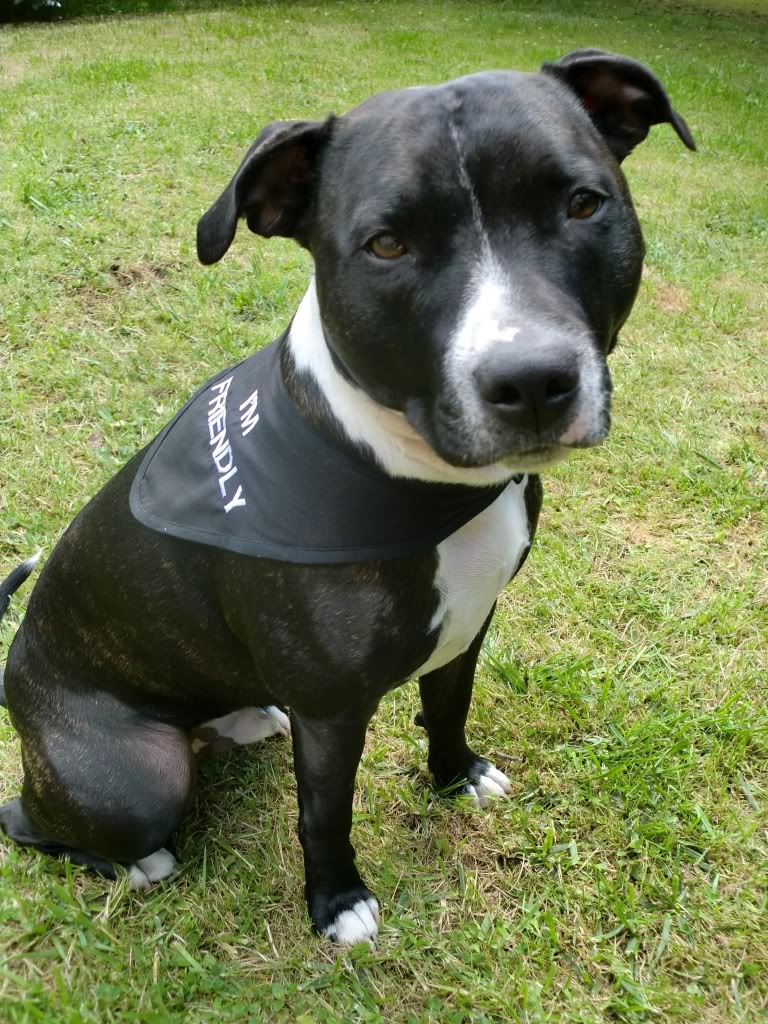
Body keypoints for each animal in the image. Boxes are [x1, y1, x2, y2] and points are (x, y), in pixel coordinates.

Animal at [0, 48, 696, 942]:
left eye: (582, 203)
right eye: (387, 244)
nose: (533, 380)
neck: (412, 475)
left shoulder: (469, 625)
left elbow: (449, 708)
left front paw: (456, 777)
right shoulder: (332, 713)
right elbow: (324, 812)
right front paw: (337, 904)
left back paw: (244, 719)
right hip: (133, 781)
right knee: (36, 821)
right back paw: (141, 860)